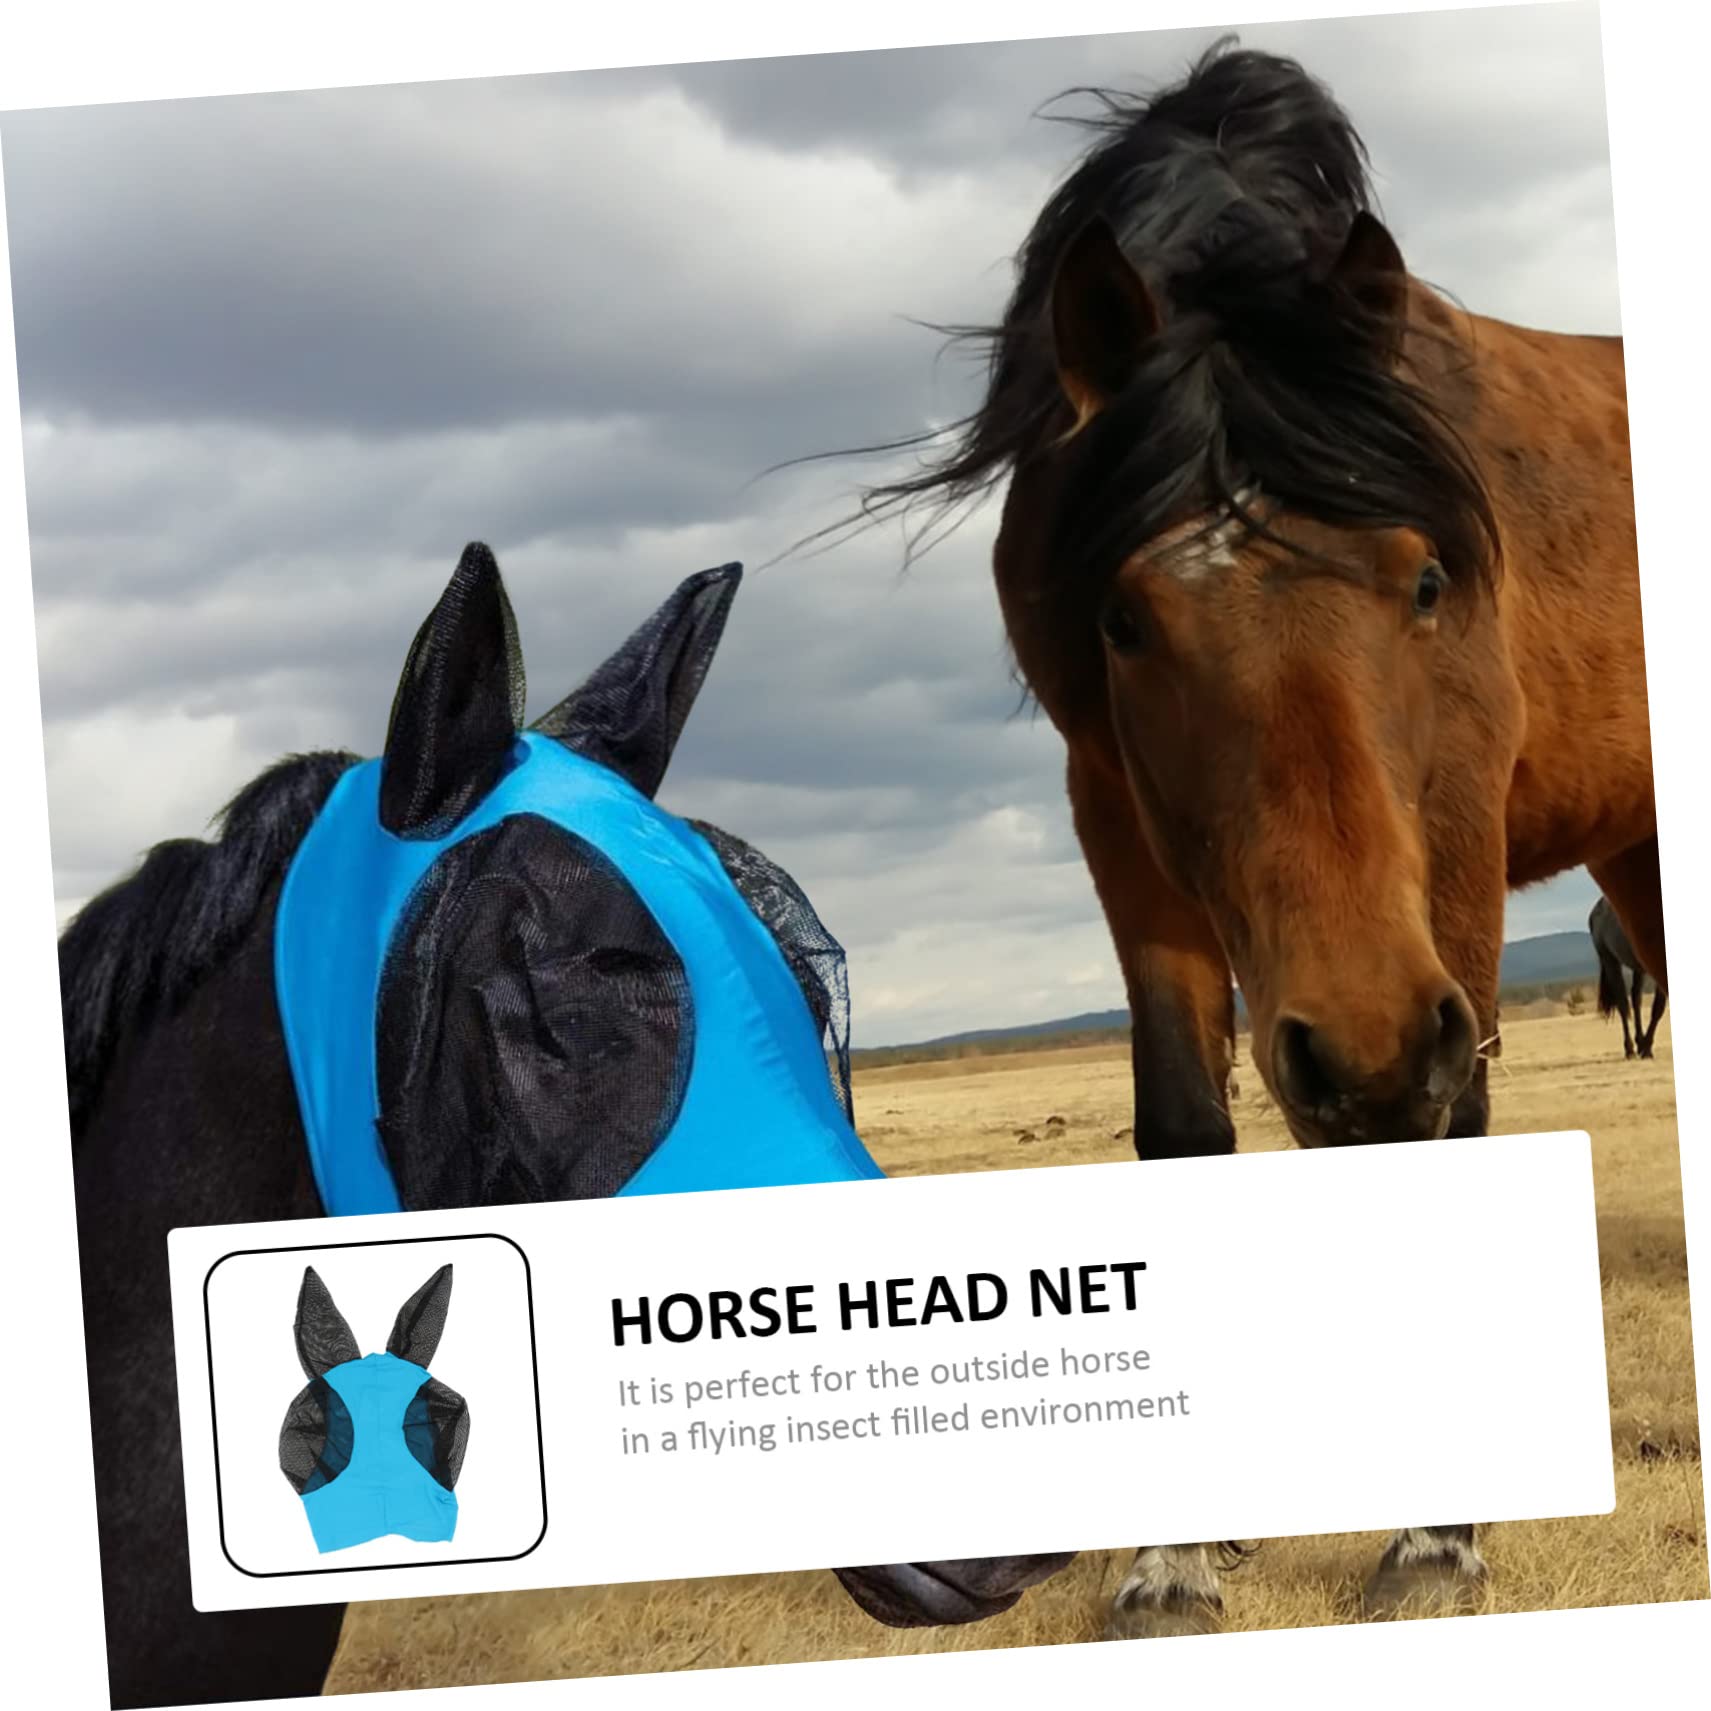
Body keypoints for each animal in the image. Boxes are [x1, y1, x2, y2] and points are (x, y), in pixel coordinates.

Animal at [1591, 893, 1667, 1059]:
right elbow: (1657, 1008)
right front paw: (1647, 1049)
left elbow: (1658, 1008)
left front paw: (1646, 1047)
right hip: (1610, 961)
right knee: (1623, 1003)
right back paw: (1630, 1048)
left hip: (1639, 968)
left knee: (1635, 998)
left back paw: (1640, 1042)